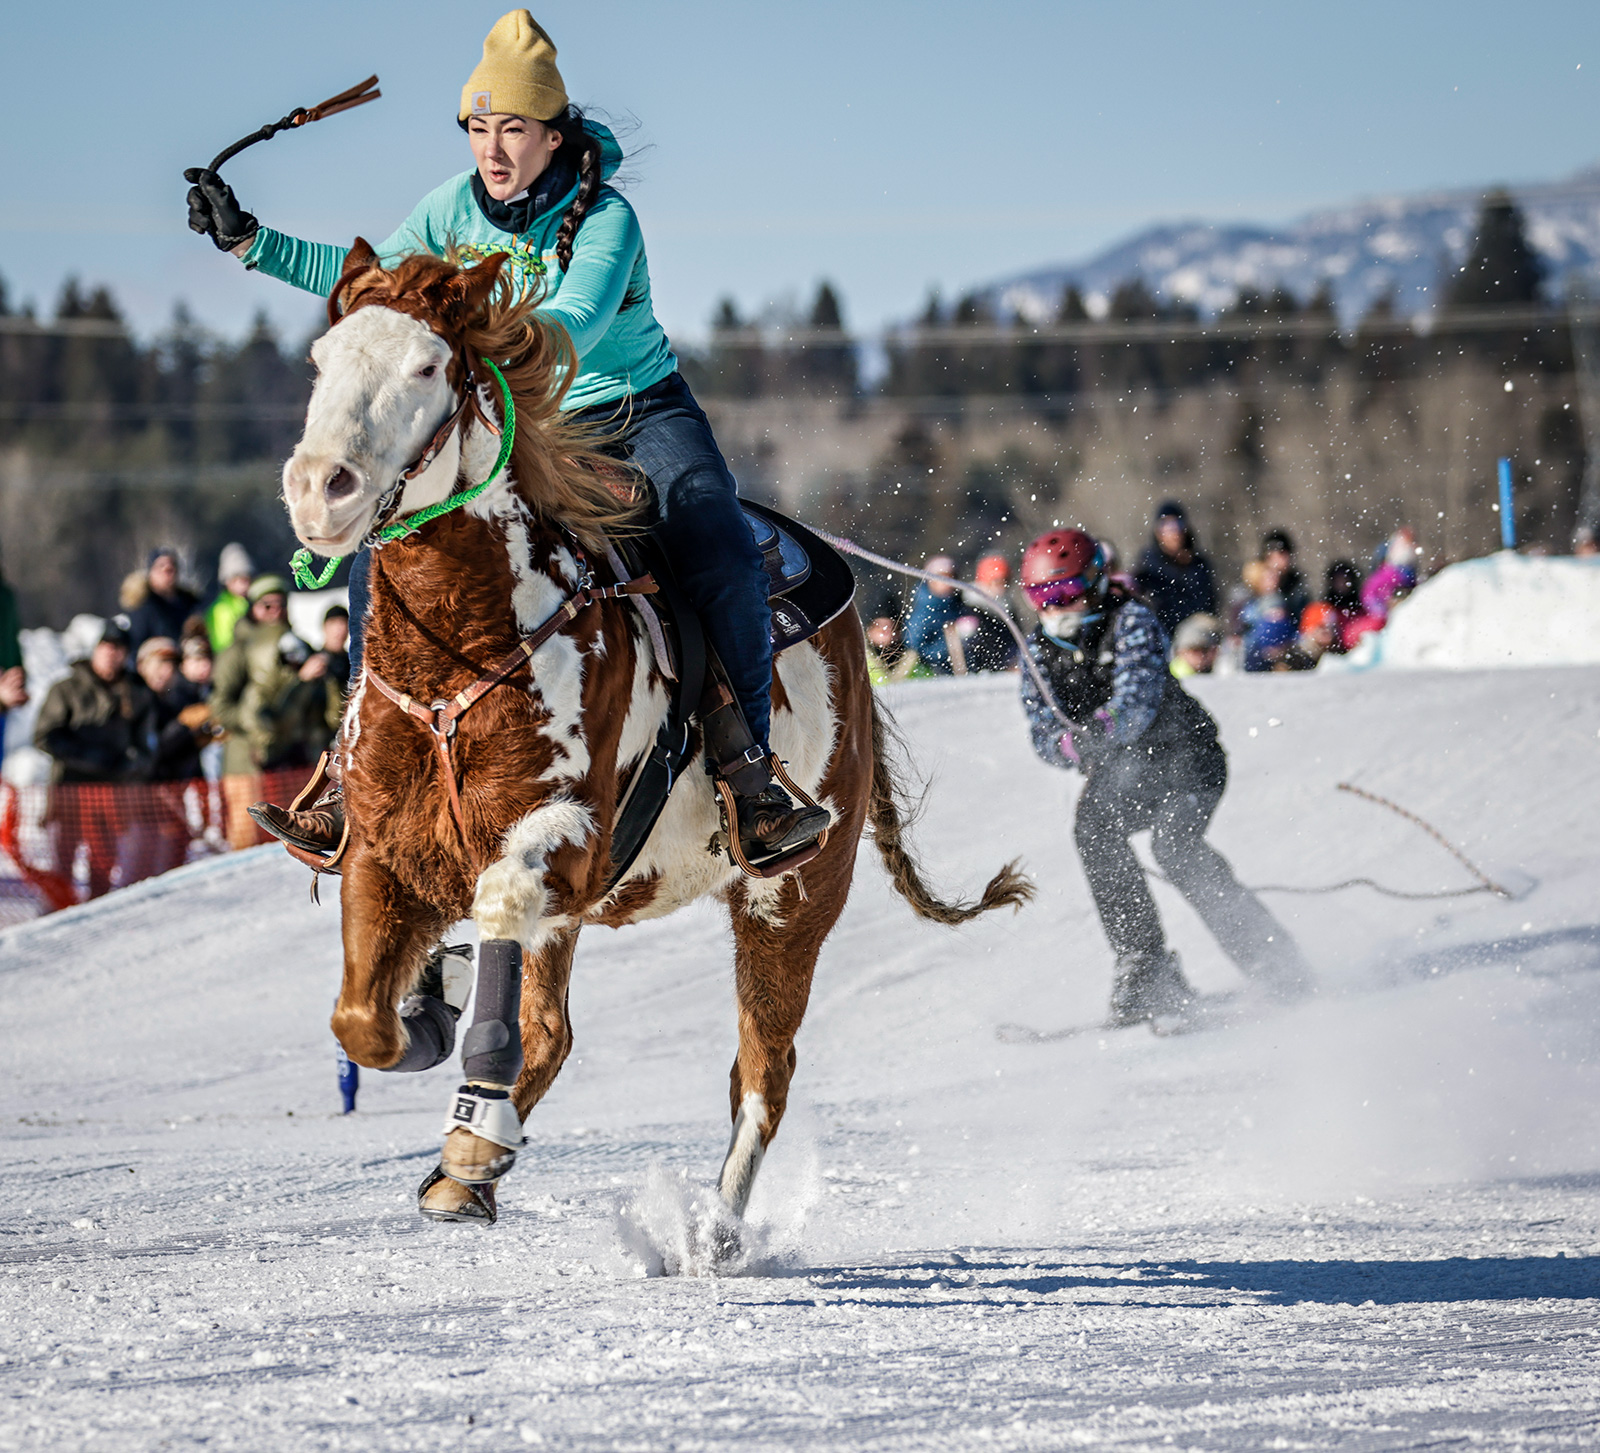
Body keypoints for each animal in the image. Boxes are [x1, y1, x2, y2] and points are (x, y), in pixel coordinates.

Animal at [281, 238, 1030, 1235]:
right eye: (321, 361)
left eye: (428, 366)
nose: (320, 489)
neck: (469, 650)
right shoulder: (382, 847)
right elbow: (362, 1019)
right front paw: (433, 1013)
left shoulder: (565, 840)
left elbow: (496, 917)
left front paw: (468, 1102)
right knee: (550, 1034)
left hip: (789, 899)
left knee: (761, 1072)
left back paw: (708, 1230)